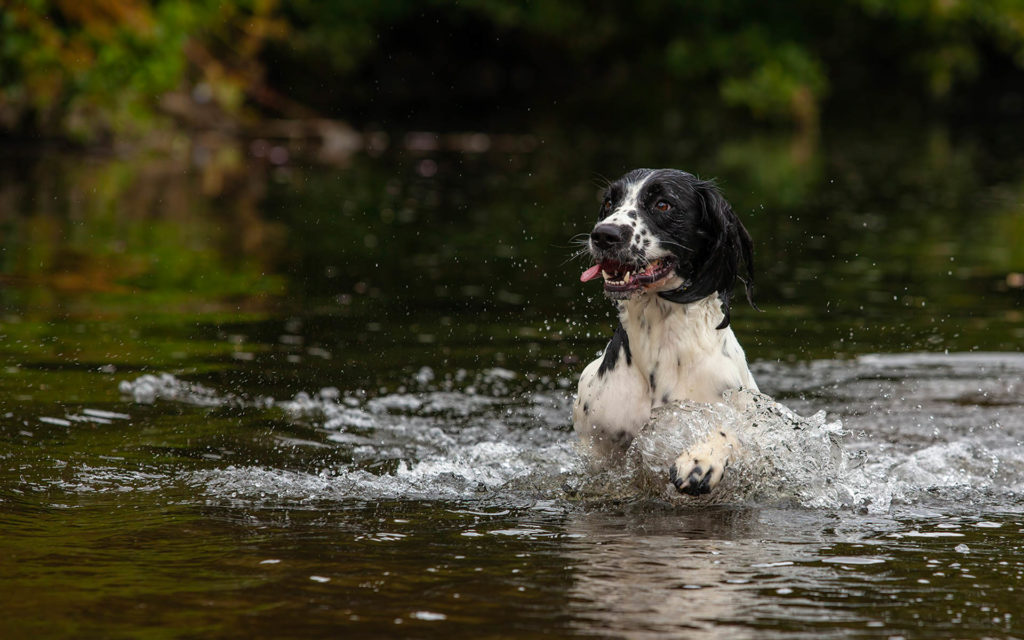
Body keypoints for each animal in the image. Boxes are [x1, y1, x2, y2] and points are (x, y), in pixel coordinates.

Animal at [569, 168, 761, 493]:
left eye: (662, 204)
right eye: (609, 202)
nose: (604, 234)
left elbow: (731, 432)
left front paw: (701, 460)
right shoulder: (596, 444)